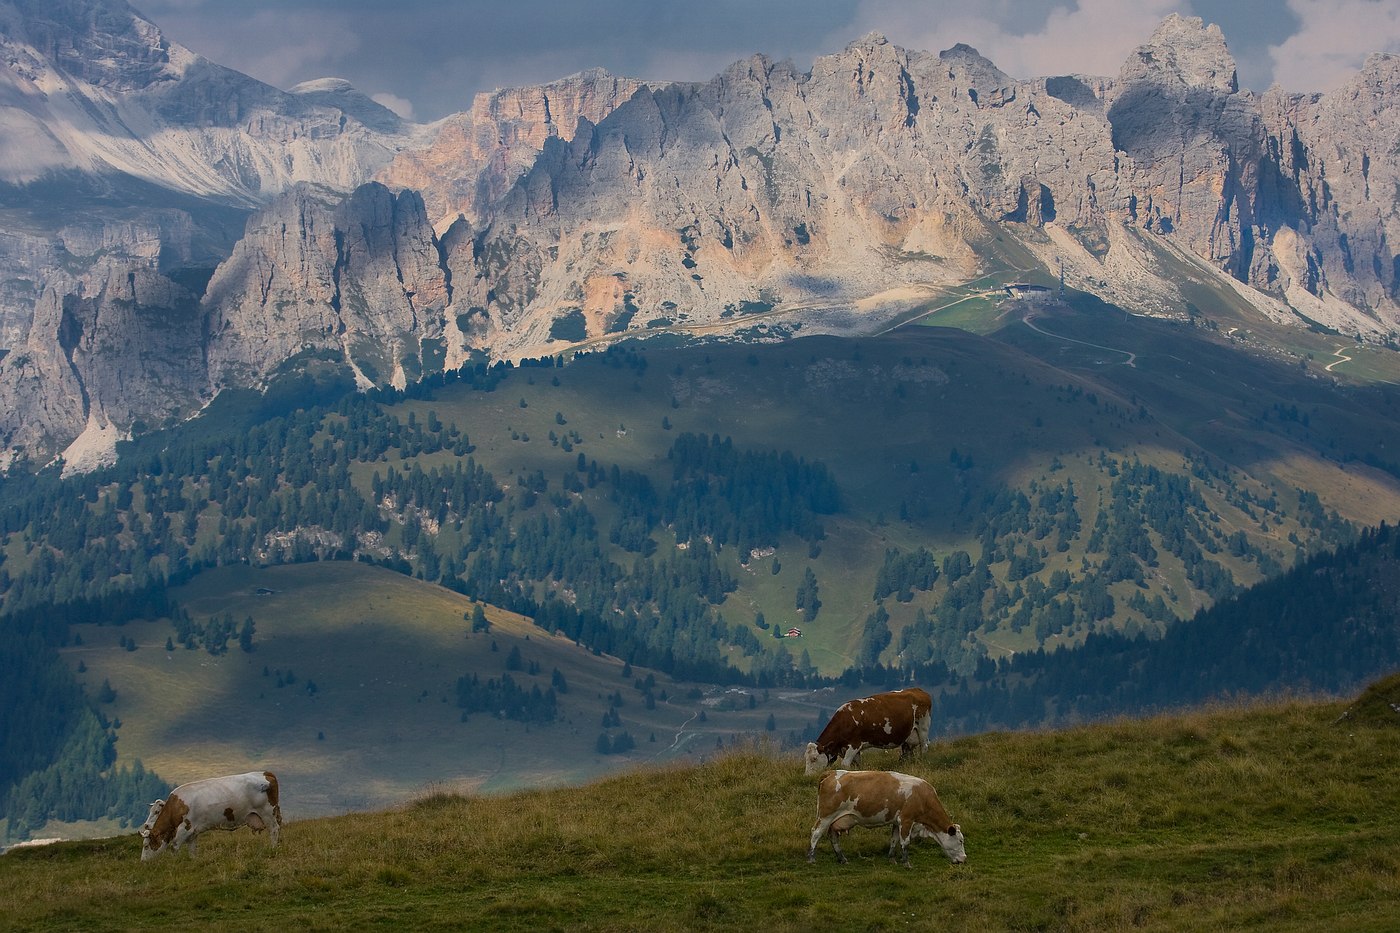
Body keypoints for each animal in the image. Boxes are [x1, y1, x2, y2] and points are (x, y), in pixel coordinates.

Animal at [141, 767, 284, 857]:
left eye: (146, 846)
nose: (143, 862)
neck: (176, 806)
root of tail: (265, 773)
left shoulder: (185, 827)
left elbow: (174, 846)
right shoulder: (192, 833)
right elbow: (192, 850)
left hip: (267, 812)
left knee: (274, 829)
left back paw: (272, 849)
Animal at [806, 680, 935, 773]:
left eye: (814, 759)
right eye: (805, 759)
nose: (808, 776)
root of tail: (919, 690)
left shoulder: (854, 745)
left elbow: (845, 765)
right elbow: (857, 764)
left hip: (923, 726)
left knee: (924, 746)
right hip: (908, 736)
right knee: (907, 752)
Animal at [806, 767, 968, 862]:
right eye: (960, 841)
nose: (964, 858)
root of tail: (831, 773)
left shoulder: (896, 822)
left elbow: (894, 840)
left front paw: (891, 858)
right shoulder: (906, 819)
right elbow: (905, 842)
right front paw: (906, 862)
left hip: (834, 820)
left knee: (833, 837)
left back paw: (842, 858)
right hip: (826, 816)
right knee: (816, 833)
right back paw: (811, 858)